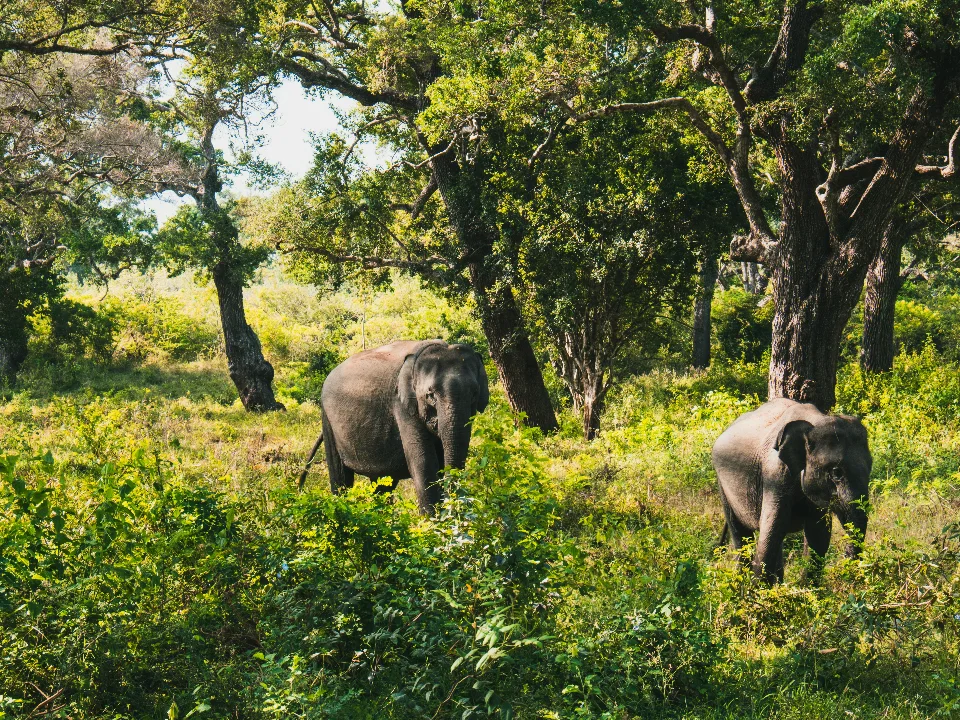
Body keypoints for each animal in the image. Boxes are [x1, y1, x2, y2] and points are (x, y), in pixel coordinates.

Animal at [298, 339, 489, 515]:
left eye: (474, 393)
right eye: (430, 395)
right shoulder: (402, 406)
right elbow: (424, 462)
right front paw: (432, 525)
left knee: (382, 485)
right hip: (327, 419)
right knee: (340, 477)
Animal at [711, 398, 872, 583]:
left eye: (870, 468)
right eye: (836, 473)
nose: (844, 558)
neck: (815, 421)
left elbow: (818, 535)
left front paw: (808, 589)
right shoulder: (775, 475)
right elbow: (772, 529)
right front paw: (759, 590)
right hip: (723, 484)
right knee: (740, 533)